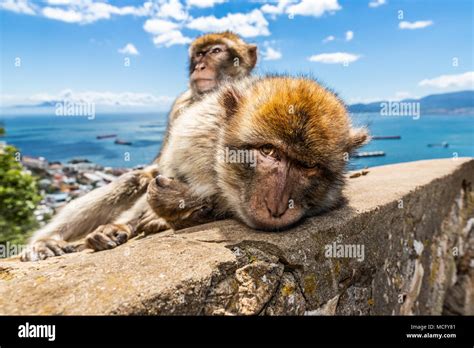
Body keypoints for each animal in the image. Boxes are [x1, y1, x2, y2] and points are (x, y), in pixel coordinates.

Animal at [21, 32, 260, 260]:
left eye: (216, 51)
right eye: (199, 55)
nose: (199, 66)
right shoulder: (181, 105)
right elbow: (162, 166)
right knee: (135, 179)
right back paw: (48, 241)